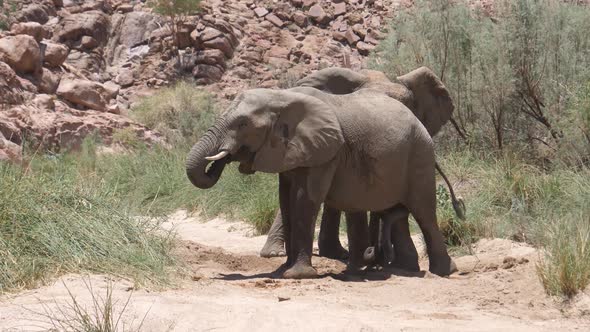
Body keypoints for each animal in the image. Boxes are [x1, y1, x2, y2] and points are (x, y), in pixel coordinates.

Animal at [186, 85, 458, 278]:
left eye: (243, 124)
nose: (222, 158)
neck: (282, 96)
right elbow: (285, 199)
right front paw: (282, 270)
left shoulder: (325, 151)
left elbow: (305, 199)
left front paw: (297, 275)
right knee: (397, 213)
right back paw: (401, 269)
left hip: (419, 155)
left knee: (424, 211)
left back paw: (444, 271)